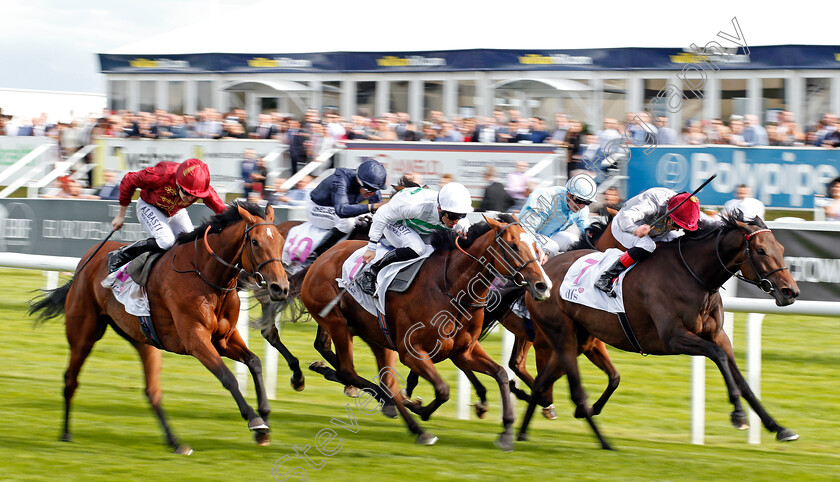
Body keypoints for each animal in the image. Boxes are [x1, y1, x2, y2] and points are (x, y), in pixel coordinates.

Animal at [29, 201, 290, 454]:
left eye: (280, 241)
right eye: (255, 242)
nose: (280, 287)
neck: (207, 275)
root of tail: (86, 261)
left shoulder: (223, 338)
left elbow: (254, 362)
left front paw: (265, 418)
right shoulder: (196, 339)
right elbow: (227, 377)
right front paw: (255, 421)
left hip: (143, 340)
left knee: (152, 391)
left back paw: (176, 443)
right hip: (83, 333)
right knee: (70, 378)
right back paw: (65, 433)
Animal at [300, 214, 552, 448]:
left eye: (536, 245)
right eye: (513, 246)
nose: (543, 285)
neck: (451, 287)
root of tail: (322, 258)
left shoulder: (464, 351)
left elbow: (500, 374)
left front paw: (507, 431)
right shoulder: (411, 352)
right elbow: (442, 389)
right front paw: (421, 410)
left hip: (374, 334)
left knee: (382, 381)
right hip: (337, 323)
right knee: (351, 373)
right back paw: (415, 427)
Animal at [520, 213, 800, 450]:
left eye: (782, 249)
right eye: (761, 250)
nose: (791, 292)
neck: (692, 274)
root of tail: (543, 270)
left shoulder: (718, 335)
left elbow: (742, 380)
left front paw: (778, 428)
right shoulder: (672, 338)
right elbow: (718, 356)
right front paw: (738, 415)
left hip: (578, 338)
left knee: (543, 382)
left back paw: (521, 433)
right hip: (562, 333)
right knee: (567, 386)